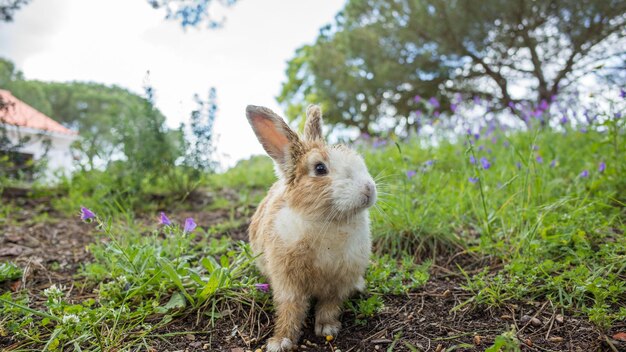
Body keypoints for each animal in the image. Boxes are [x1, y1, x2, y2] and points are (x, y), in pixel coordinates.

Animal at [244, 103, 372, 350]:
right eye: (320, 168)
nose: (369, 189)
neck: (327, 221)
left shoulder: (339, 282)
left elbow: (330, 305)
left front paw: (328, 328)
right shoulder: (287, 281)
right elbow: (290, 309)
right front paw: (280, 342)